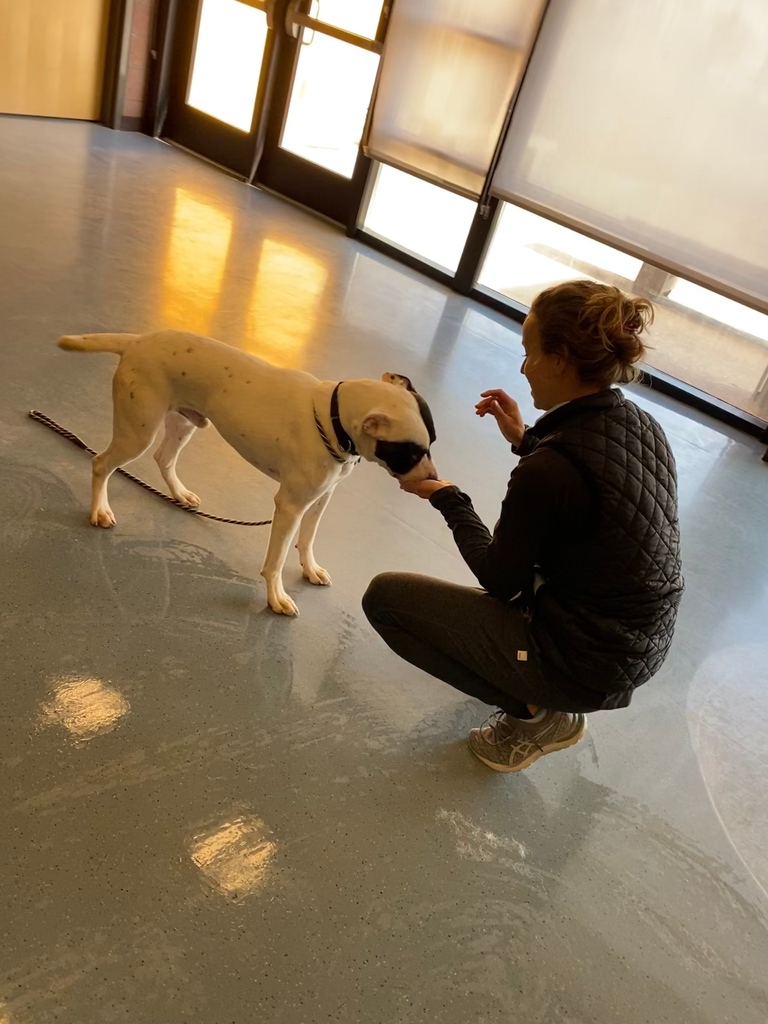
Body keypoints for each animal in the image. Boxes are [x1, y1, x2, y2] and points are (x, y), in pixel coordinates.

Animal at [58, 331, 438, 610]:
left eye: (433, 443)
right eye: (410, 452)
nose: (433, 479)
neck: (332, 419)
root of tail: (138, 341)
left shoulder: (320, 499)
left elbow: (307, 539)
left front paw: (310, 569)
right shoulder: (290, 506)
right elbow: (276, 558)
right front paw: (276, 597)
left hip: (183, 424)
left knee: (163, 459)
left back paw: (179, 493)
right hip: (137, 433)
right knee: (101, 463)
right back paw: (100, 510)